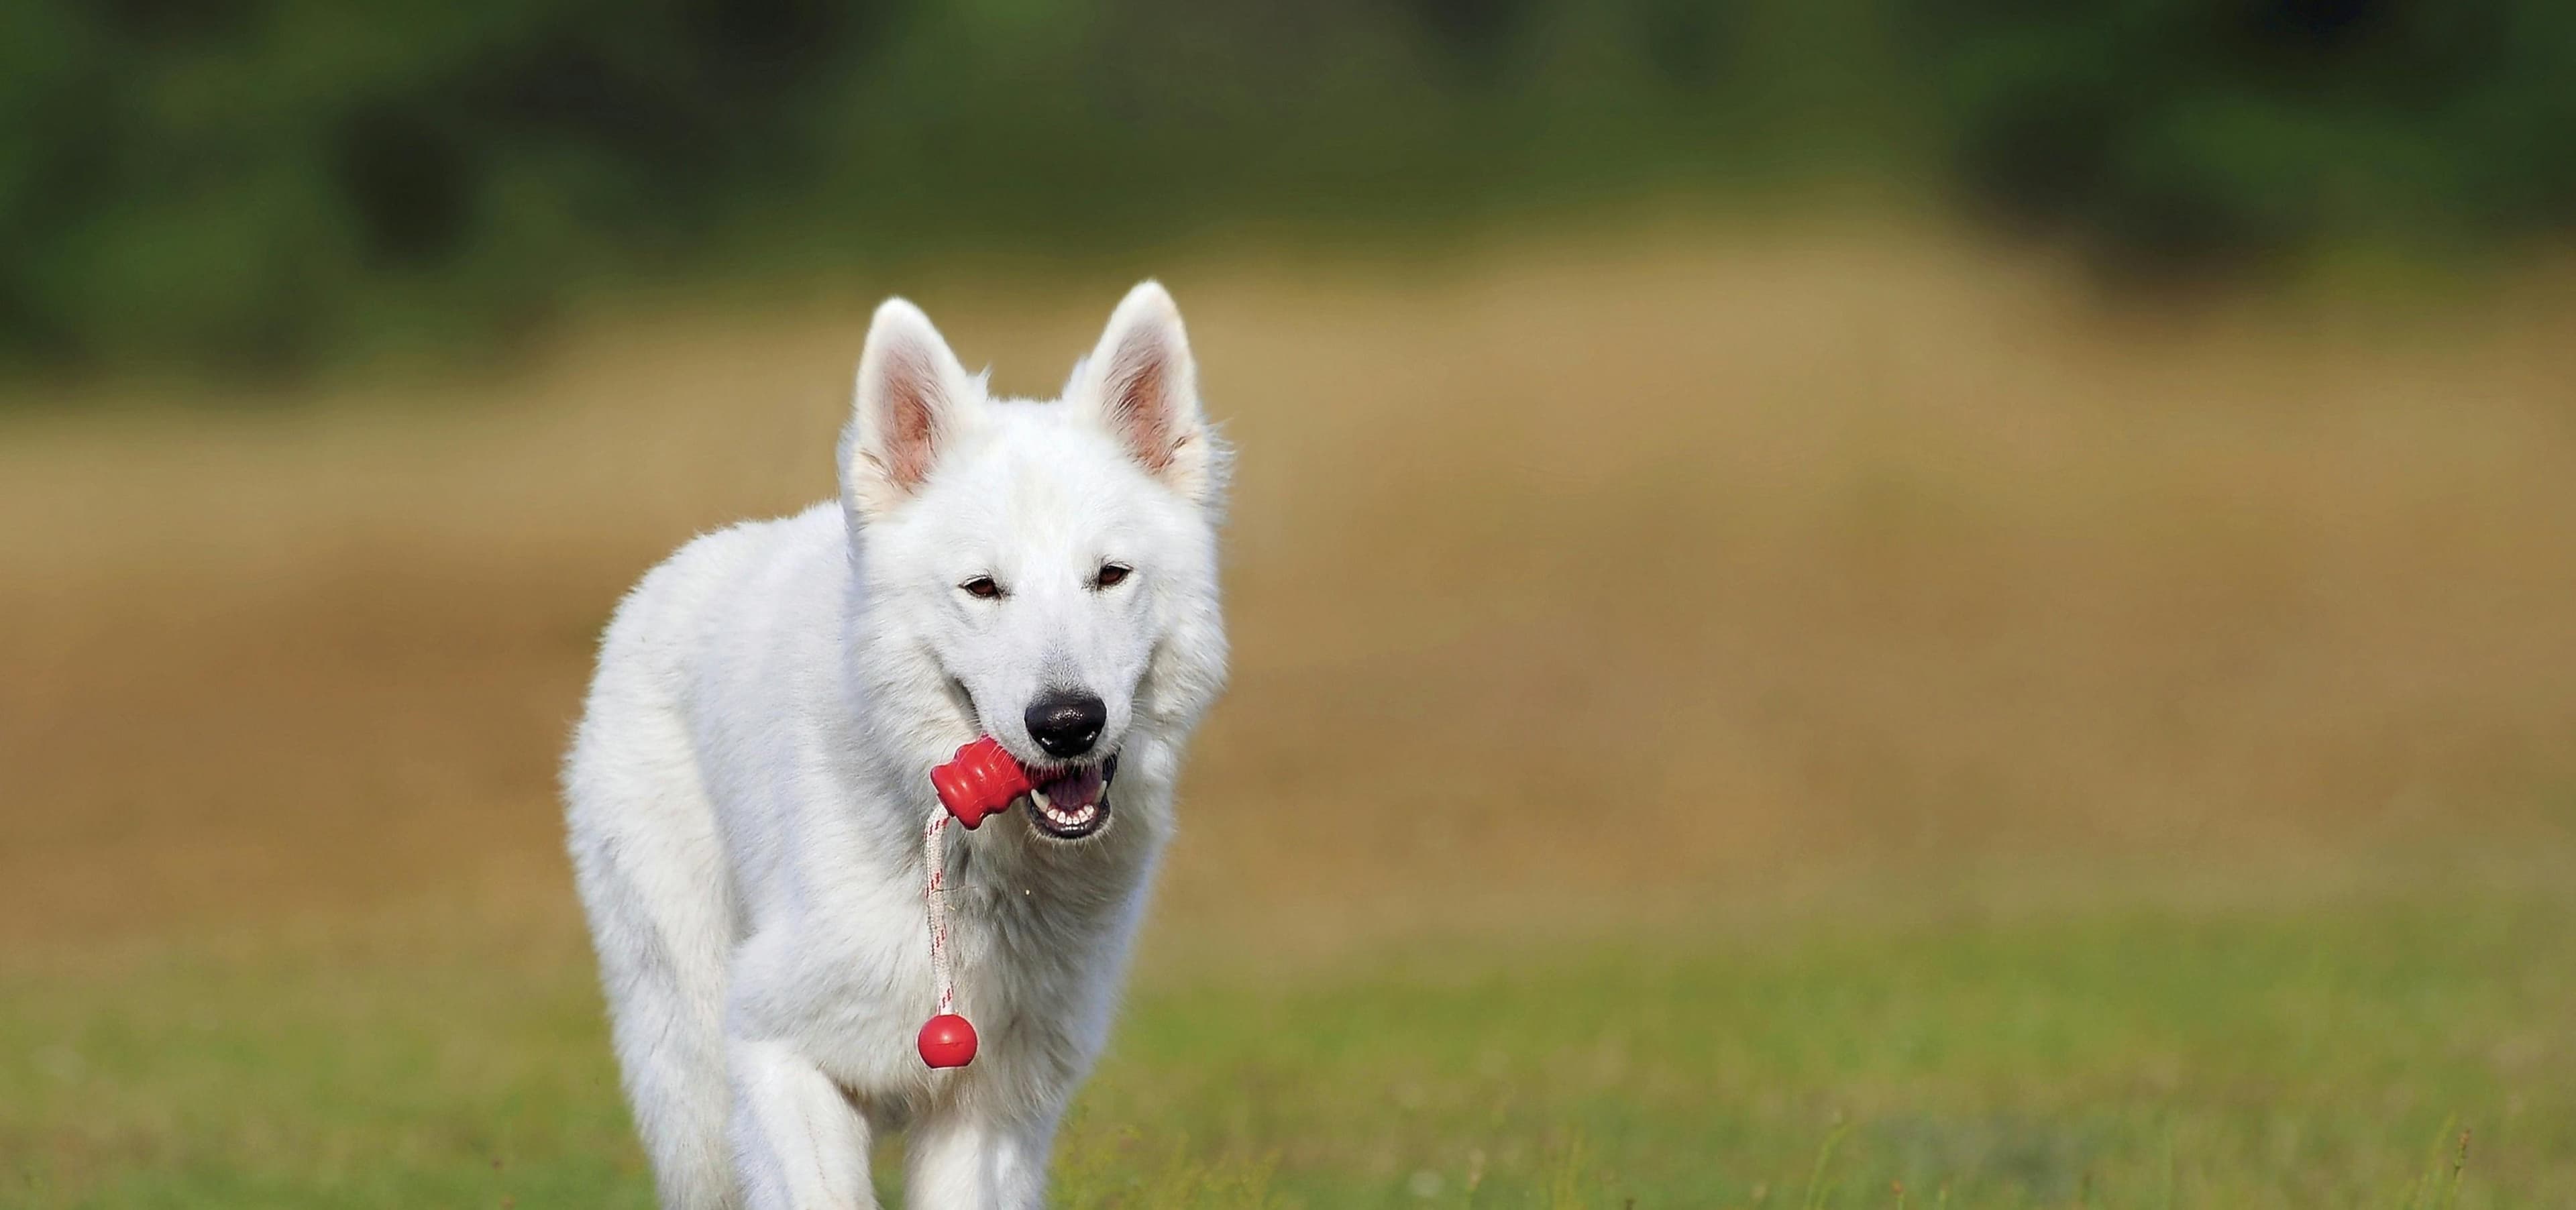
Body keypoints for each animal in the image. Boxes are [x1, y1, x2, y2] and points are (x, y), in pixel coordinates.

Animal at [569, 286, 1231, 1210]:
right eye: (983, 588)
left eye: (1109, 576)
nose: (1068, 722)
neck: (970, 869)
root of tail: (664, 579)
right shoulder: (779, 1050)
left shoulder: (989, 1112)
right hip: (693, 1085)